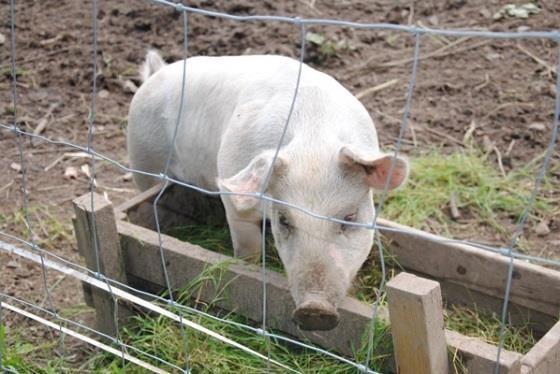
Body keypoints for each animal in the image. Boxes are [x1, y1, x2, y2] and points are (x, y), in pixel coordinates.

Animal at [128, 49, 406, 330]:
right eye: (284, 220)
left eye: (349, 217)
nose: (314, 309)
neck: (312, 143)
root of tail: (156, 73)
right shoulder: (234, 199)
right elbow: (247, 246)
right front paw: (247, 267)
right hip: (143, 160)